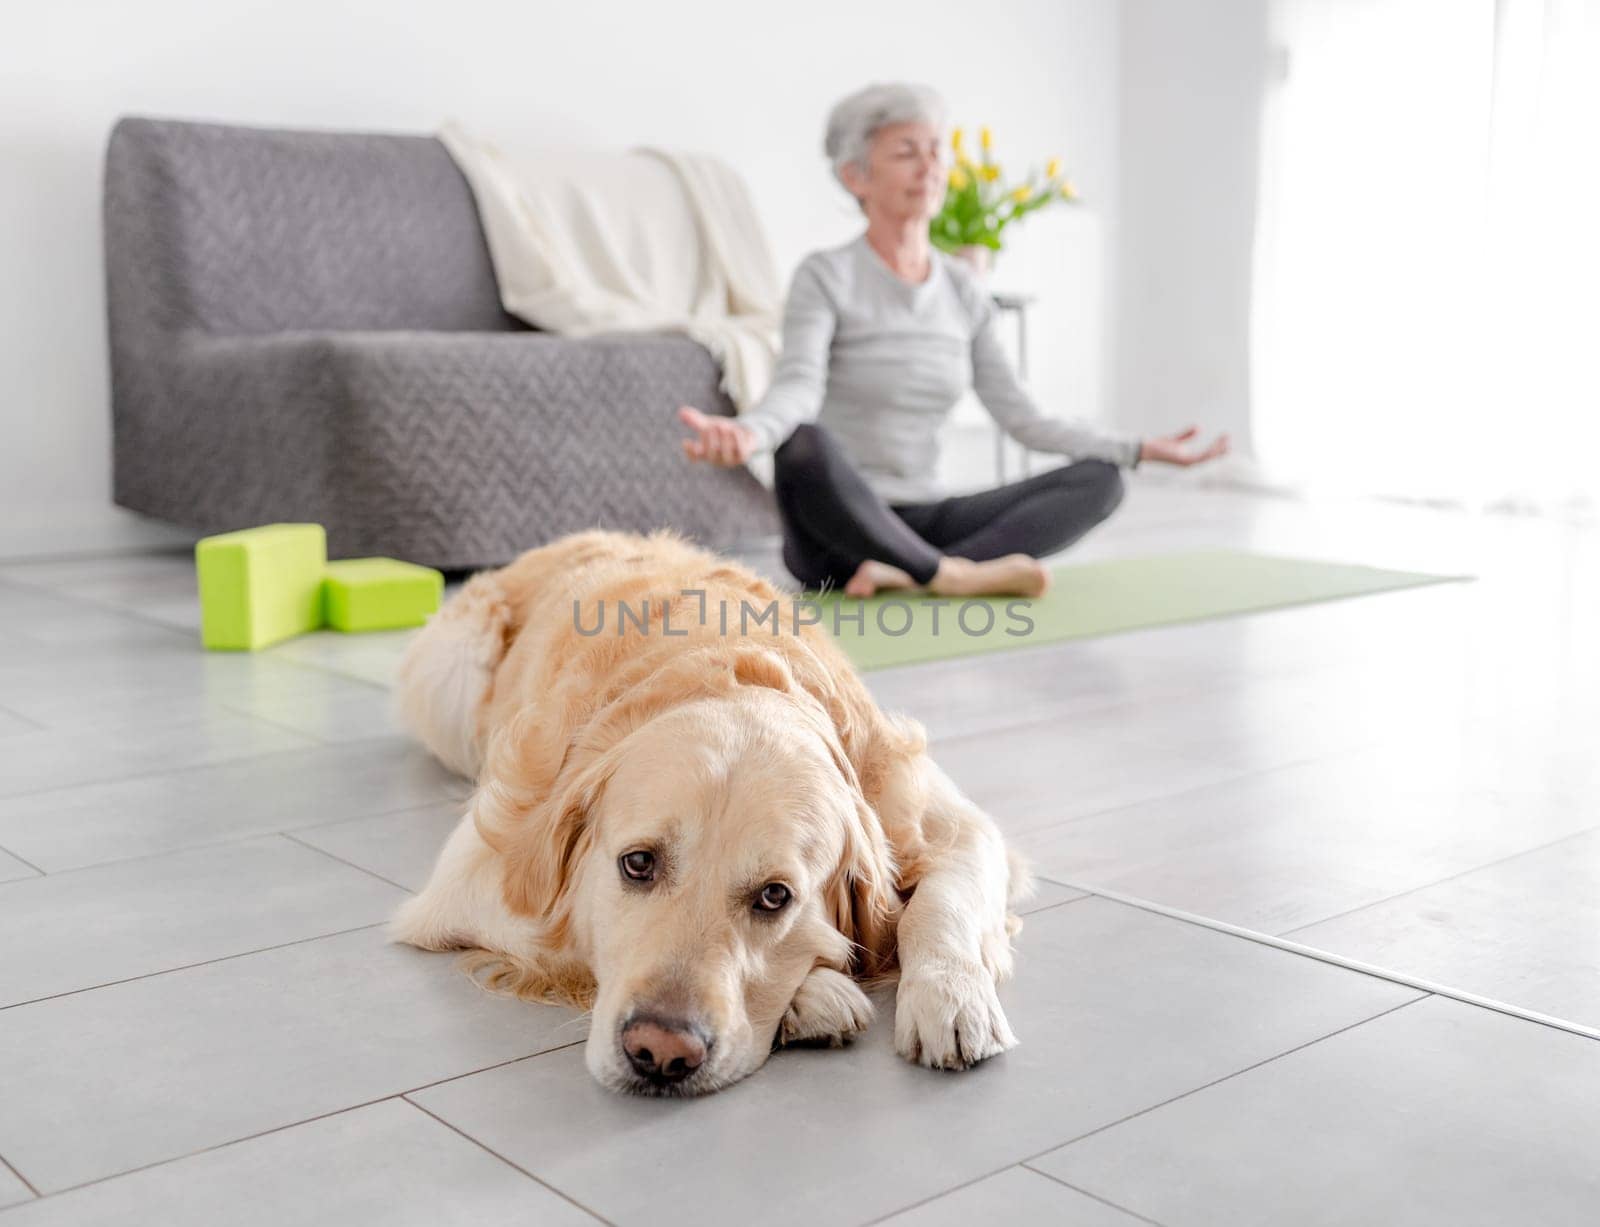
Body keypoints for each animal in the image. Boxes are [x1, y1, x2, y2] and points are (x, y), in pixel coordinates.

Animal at [393, 524, 1030, 1094]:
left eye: (775, 896)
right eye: (637, 864)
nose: (660, 1053)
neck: (730, 674)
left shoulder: (935, 814)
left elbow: (941, 900)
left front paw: (951, 996)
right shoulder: (477, 872)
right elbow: (572, 925)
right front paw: (817, 993)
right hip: (453, 673)